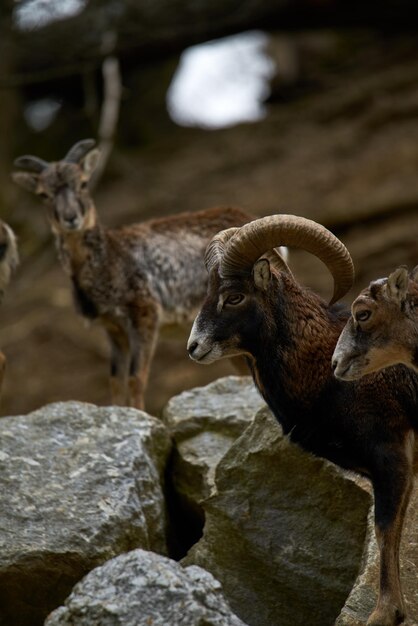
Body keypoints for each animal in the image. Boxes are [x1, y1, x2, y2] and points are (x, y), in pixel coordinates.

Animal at [11, 138, 256, 408]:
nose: (71, 218)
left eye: (84, 183)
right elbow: (115, 380)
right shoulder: (112, 327)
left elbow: (136, 377)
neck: (109, 260)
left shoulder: (145, 312)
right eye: (43, 194)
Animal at [188, 214, 416, 624]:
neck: (324, 368)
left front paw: (384, 614)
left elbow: (385, 530)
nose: (194, 347)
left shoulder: (392, 457)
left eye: (234, 296)